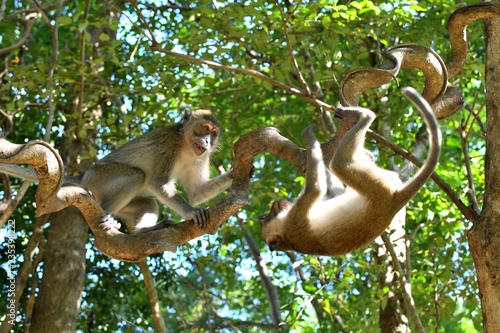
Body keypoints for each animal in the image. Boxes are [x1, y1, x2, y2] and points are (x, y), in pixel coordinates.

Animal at [81, 109, 233, 233]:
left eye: (213, 133)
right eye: (205, 128)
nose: (207, 141)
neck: (186, 145)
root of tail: (84, 177)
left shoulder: (202, 157)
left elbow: (197, 192)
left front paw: (234, 172)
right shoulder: (170, 144)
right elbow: (157, 182)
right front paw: (191, 211)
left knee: (149, 203)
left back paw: (144, 230)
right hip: (97, 176)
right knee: (137, 175)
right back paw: (108, 214)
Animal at [260, 87, 444, 254]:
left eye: (267, 216)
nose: (275, 205)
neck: (287, 236)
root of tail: (394, 201)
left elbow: (332, 192)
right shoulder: (295, 220)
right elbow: (315, 189)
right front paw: (309, 136)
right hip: (378, 188)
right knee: (339, 164)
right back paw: (365, 116)